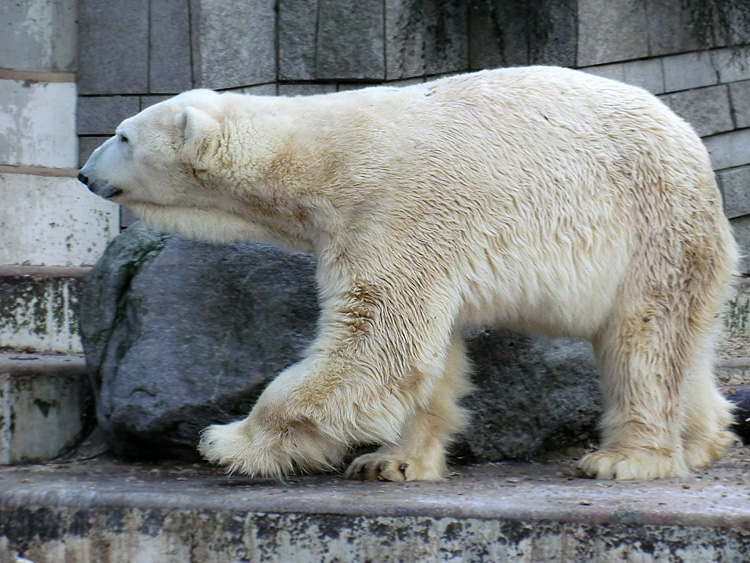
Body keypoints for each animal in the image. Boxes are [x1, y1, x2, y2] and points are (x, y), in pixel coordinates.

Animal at [79, 66, 736, 480]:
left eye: (122, 134)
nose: (84, 174)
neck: (327, 158)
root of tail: (696, 150)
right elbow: (429, 358)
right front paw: (390, 461)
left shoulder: (395, 211)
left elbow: (377, 341)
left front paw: (229, 441)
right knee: (685, 343)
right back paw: (704, 440)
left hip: (652, 226)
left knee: (643, 340)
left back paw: (627, 458)